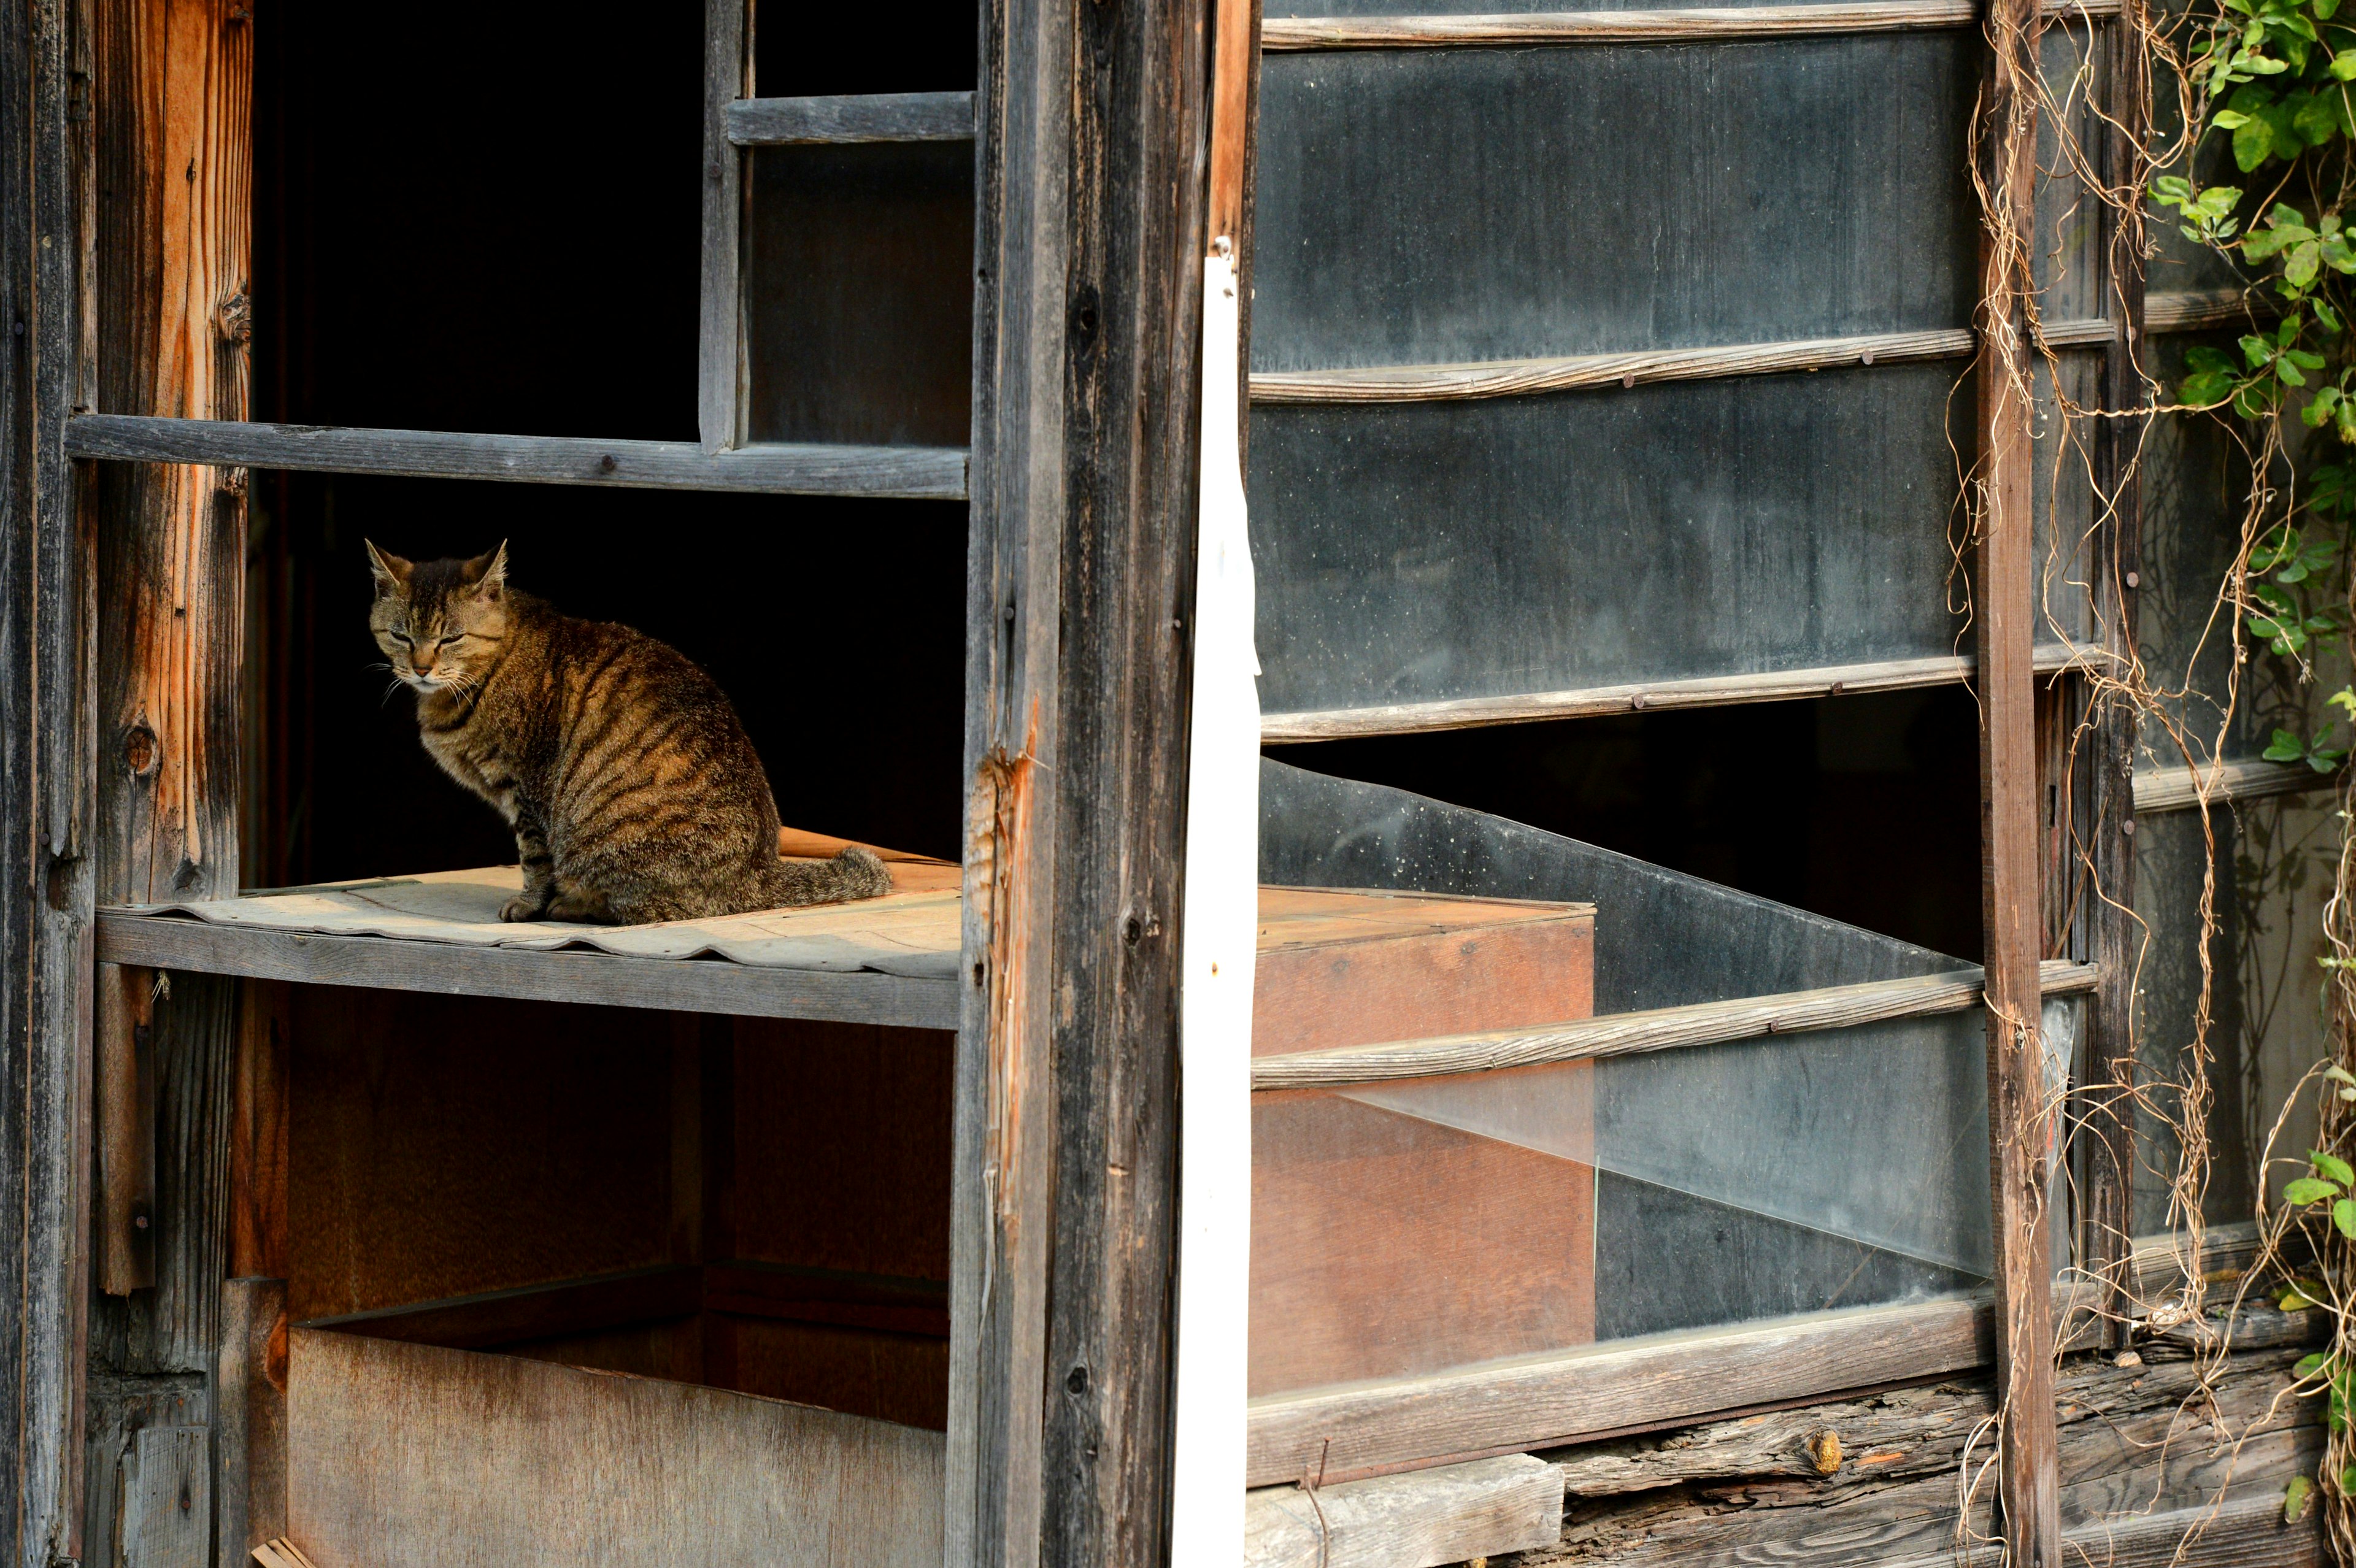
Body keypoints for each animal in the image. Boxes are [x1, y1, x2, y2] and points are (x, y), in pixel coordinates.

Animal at [363, 544, 885, 923]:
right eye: (401, 636)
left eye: (451, 637)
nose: (421, 668)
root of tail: (762, 872)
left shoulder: (530, 789)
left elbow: (535, 860)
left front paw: (529, 904)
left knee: (648, 910)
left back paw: (573, 905)